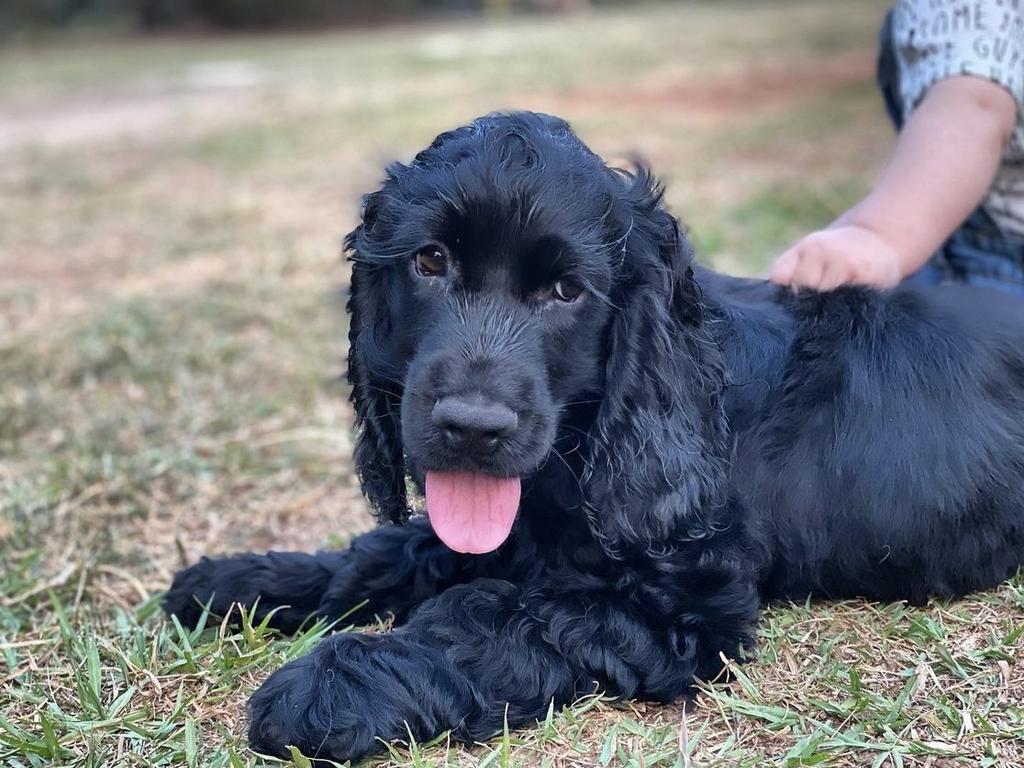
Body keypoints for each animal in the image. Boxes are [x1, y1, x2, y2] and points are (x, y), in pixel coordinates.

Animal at [161, 112, 1024, 765]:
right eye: (430, 261)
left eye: (566, 291)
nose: (470, 428)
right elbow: (391, 551)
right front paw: (245, 579)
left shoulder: (680, 604)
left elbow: (493, 612)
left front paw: (336, 680)